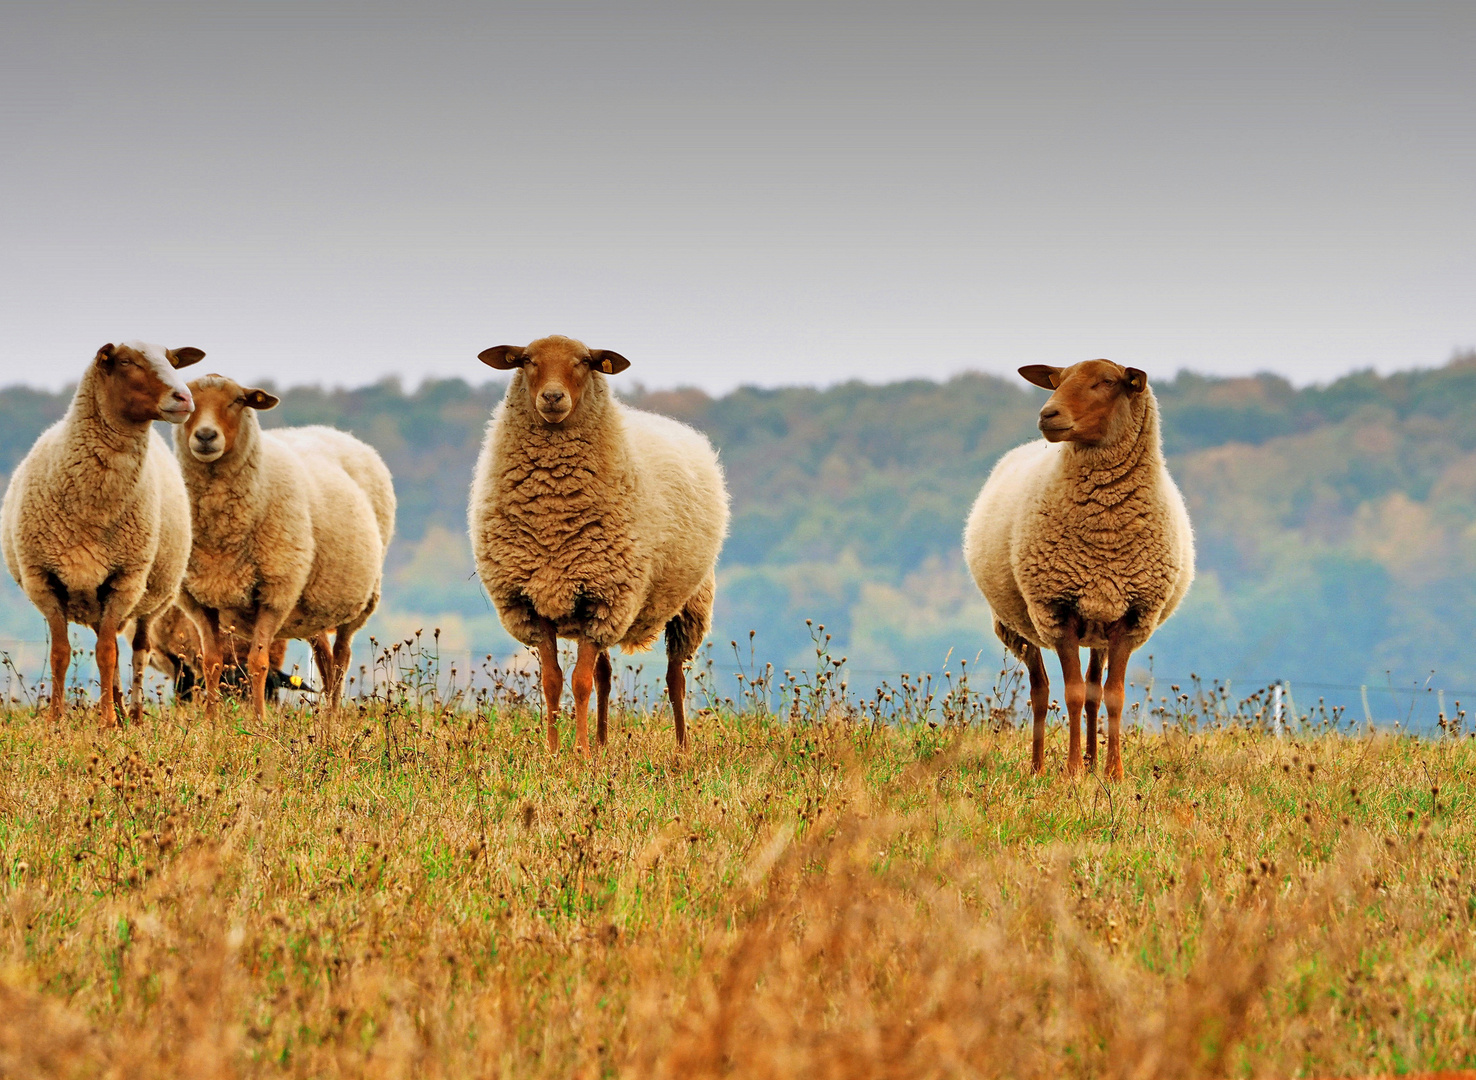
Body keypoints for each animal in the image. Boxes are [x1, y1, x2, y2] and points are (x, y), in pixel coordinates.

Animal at [1, 342, 203, 720]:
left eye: (172, 361)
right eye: (125, 361)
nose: (184, 398)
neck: (93, 506)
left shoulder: (124, 581)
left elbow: (107, 654)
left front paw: (107, 721)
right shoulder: (45, 581)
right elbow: (61, 653)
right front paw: (56, 719)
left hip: (149, 599)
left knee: (137, 650)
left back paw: (132, 715)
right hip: (94, 597)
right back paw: (121, 710)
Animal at [173, 374, 395, 720]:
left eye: (238, 401)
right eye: (187, 400)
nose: (206, 436)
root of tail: (334, 431)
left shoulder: (276, 591)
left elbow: (258, 662)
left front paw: (258, 720)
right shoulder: (198, 600)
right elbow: (211, 662)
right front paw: (209, 721)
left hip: (359, 598)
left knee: (341, 658)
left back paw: (333, 717)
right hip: (313, 608)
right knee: (325, 659)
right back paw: (325, 717)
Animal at [469, 333, 729, 755]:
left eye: (584, 362)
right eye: (526, 361)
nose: (553, 397)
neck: (553, 515)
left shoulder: (604, 597)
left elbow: (579, 682)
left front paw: (579, 753)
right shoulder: (537, 601)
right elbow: (553, 680)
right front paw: (554, 751)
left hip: (687, 602)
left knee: (675, 677)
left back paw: (681, 749)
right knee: (605, 674)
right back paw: (605, 743)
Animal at [962, 360, 1192, 779]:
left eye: (1107, 382)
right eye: (1058, 380)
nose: (1047, 414)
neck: (1105, 530)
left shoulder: (1130, 618)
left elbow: (1112, 696)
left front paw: (1113, 772)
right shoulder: (1057, 611)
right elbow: (1069, 694)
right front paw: (1071, 771)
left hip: (1099, 626)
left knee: (1093, 691)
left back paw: (1092, 761)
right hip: (1022, 627)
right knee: (1041, 691)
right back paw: (1038, 767)